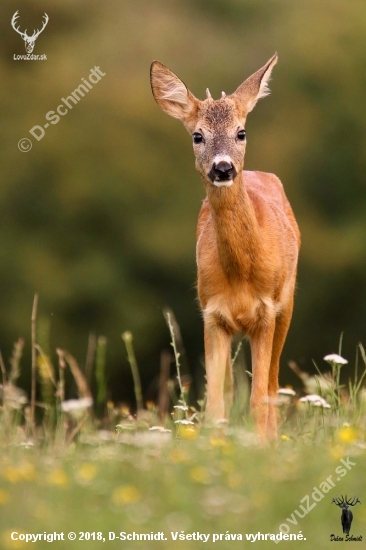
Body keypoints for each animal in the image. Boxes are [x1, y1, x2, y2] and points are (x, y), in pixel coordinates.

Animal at [150, 51, 298, 440]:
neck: (242, 273)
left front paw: (263, 447)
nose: (223, 168)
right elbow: (216, 404)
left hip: (287, 303)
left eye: (241, 132)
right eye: (197, 135)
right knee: (232, 390)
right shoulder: (212, 314)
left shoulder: (267, 312)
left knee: (273, 385)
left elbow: (260, 397)